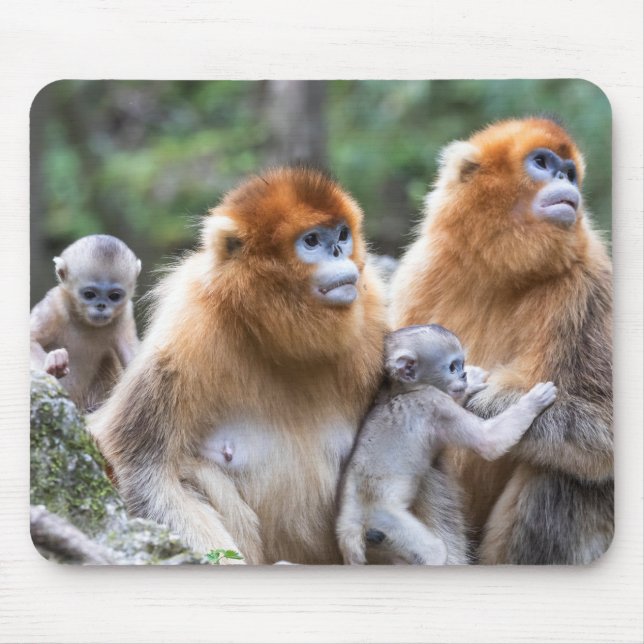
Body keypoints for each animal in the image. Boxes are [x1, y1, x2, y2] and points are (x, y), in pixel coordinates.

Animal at [30, 234, 141, 412]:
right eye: (89, 294)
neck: (83, 321)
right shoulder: (54, 306)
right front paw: (53, 364)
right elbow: (31, 339)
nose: (101, 305)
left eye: (114, 296)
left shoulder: (124, 314)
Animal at [89, 168, 387, 564]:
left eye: (342, 234)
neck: (280, 339)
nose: (339, 251)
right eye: (311, 241)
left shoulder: (375, 316)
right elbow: (145, 469)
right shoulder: (187, 332)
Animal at [336, 324, 557, 565]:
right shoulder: (435, 404)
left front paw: (473, 380)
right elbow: (488, 441)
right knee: (435, 552)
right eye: (452, 367)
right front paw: (532, 402)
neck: (404, 391)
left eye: (461, 365)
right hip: (383, 522)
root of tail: (350, 527)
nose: (463, 374)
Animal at [391, 117, 613, 564]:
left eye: (570, 172)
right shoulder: (421, 269)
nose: (566, 181)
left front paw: (477, 401)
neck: (504, 272)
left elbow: (605, 429)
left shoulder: (591, 282)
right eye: (542, 163)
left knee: (562, 472)